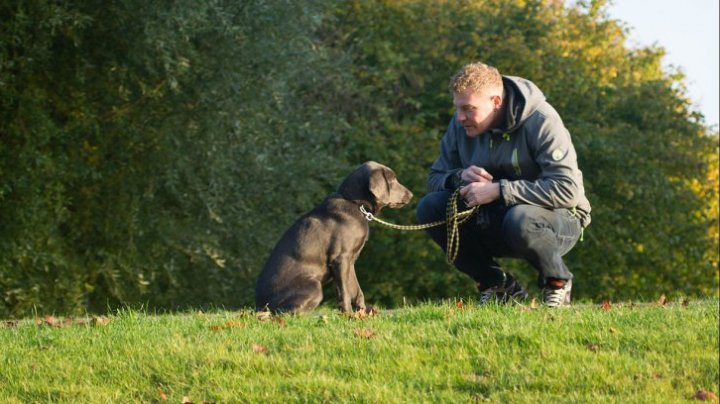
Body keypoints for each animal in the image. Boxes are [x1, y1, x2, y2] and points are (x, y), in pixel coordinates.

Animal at [255, 161, 410, 312]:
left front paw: (362, 313)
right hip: (314, 287)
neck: (354, 203)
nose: (411, 195)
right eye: (392, 180)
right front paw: (348, 314)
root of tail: (259, 306)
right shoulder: (340, 258)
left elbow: (356, 290)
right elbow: (345, 292)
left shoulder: (350, 260)